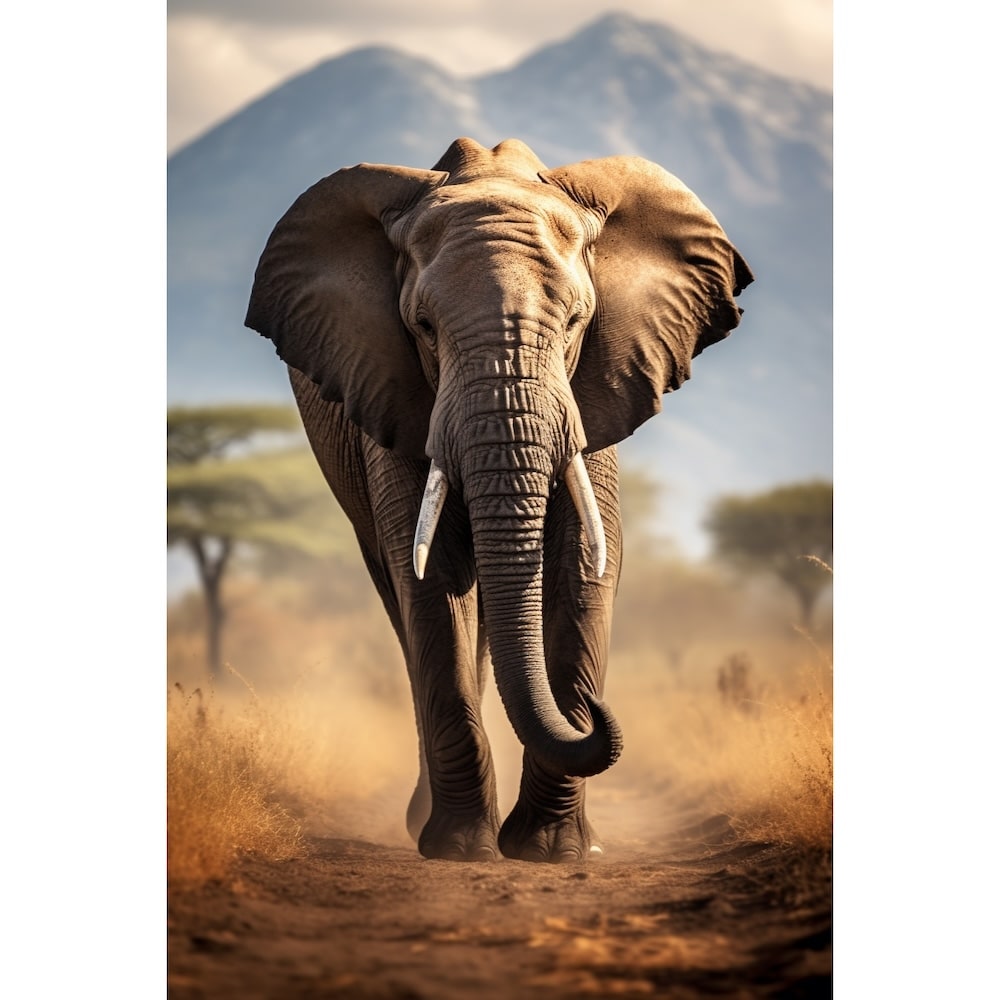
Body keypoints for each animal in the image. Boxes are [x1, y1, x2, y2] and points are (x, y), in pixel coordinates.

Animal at [245, 137, 752, 863]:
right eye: (423, 327)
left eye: (576, 322)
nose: (595, 716)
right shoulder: (390, 388)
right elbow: (431, 576)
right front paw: (462, 850)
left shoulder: (597, 387)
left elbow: (582, 565)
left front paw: (550, 851)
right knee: (401, 598)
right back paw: (426, 822)